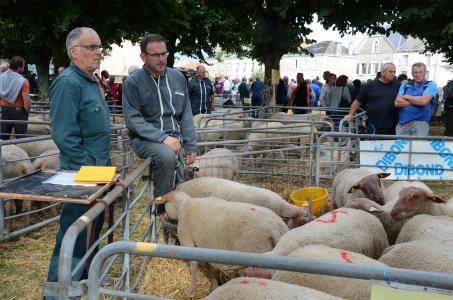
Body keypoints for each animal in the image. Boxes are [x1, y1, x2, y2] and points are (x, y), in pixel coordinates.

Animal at [159, 191, 288, 294]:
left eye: (165, 205)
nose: (163, 215)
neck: (185, 204)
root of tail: (275, 228)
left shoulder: (186, 235)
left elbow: (194, 265)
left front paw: (191, 290)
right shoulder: (210, 246)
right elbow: (212, 267)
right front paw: (215, 285)